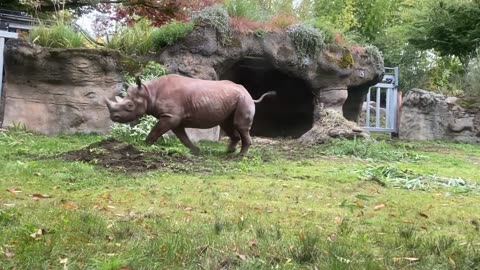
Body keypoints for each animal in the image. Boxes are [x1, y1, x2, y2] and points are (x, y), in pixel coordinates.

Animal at [106, 74, 276, 155]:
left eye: (129, 106)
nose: (113, 118)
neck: (149, 92)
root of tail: (249, 93)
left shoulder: (171, 116)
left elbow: (155, 131)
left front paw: (143, 146)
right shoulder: (174, 118)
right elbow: (183, 137)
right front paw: (196, 151)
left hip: (243, 99)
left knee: (239, 125)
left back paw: (240, 156)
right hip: (233, 99)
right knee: (227, 124)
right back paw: (228, 152)